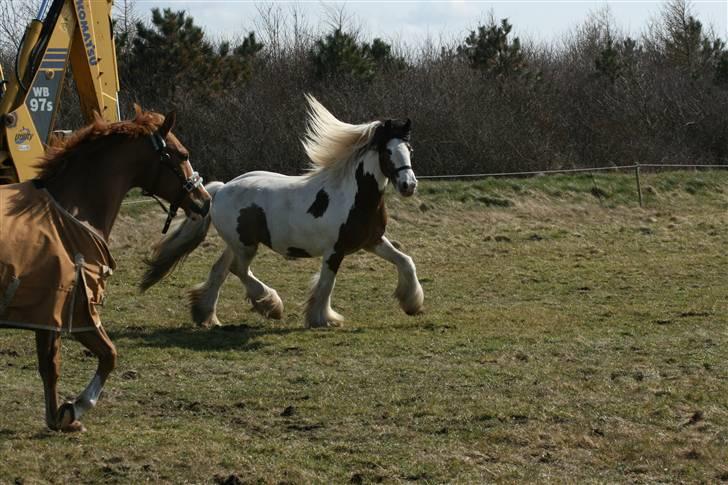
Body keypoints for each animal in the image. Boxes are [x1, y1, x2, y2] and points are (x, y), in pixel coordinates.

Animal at [0, 109, 210, 432]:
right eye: (183, 154)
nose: (204, 200)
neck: (71, 212)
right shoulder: (77, 312)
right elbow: (109, 355)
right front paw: (76, 408)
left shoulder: (48, 316)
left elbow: (50, 366)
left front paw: (58, 418)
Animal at [141, 93, 424, 328]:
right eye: (388, 152)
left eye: (409, 149)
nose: (408, 185)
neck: (353, 197)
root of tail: (220, 190)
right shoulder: (335, 250)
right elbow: (326, 284)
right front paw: (322, 319)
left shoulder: (372, 240)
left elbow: (406, 261)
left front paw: (411, 304)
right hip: (245, 245)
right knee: (238, 270)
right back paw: (270, 305)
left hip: (237, 243)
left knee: (220, 270)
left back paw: (205, 314)